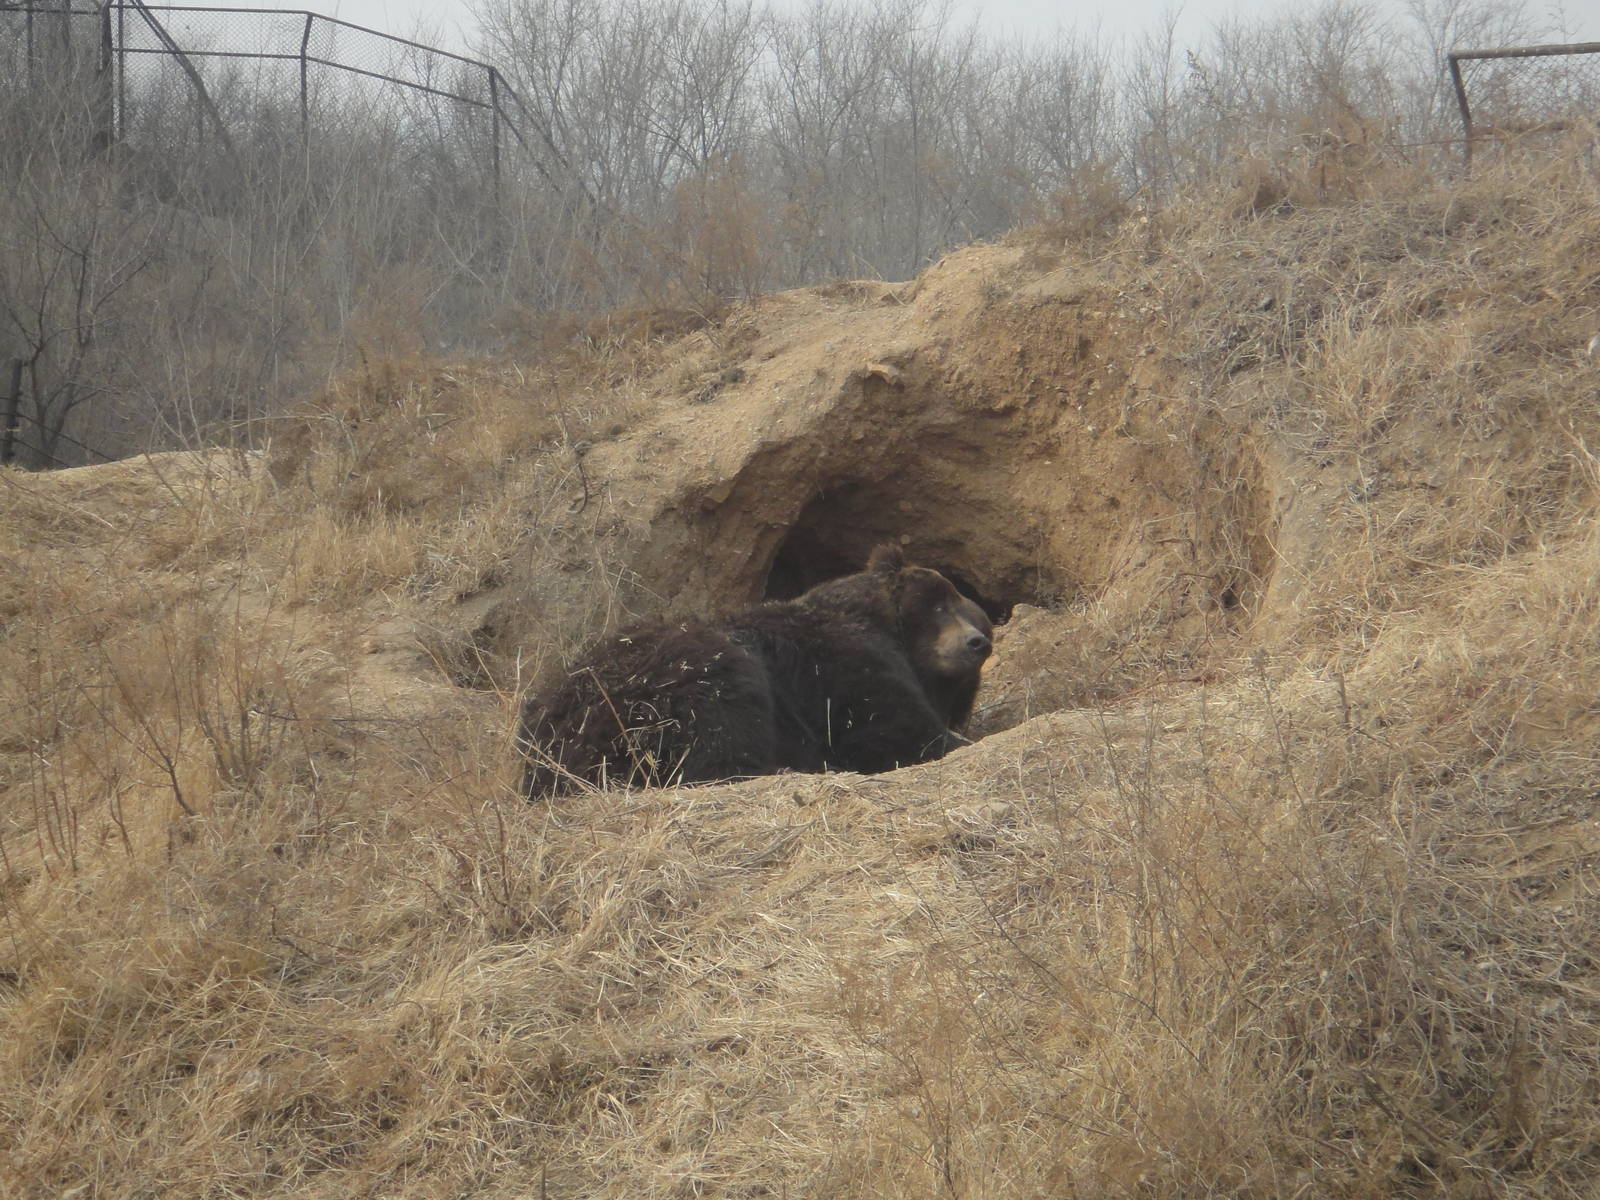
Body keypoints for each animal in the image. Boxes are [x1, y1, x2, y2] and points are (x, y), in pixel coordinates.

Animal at [518, 544, 993, 797]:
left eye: (974, 613)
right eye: (937, 605)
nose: (977, 643)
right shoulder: (843, 668)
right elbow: (893, 729)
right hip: (677, 679)